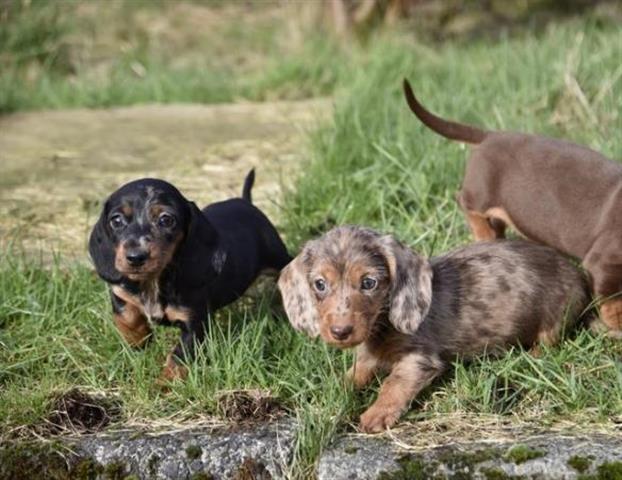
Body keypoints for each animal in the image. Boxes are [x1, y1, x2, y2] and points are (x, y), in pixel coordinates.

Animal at [90, 169, 292, 382]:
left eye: (166, 219)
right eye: (116, 220)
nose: (135, 257)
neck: (154, 280)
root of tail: (246, 202)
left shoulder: (193, 323)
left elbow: (178, 357)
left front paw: (164, 384)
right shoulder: (121, 291)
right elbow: (126, 317)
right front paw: (139, 339)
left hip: (277, 258)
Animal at [280, 227, 592, 434]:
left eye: (369, 282)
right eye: (320, 284)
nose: (340, 331)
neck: (382, 325)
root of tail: (578, 274)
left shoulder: (418, 359)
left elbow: (393, 383)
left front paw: (377, 413)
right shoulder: (368, 358)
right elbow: (353, 375)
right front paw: (332, 390)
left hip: (555, 316)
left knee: (549, 341)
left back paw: (531, 356)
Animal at [404, 79, 622, 338]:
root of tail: (491, 136)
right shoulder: (602, 263)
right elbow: (612, 298)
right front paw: (617, 321)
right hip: (481, 194)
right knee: (466, 203)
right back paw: (484, 232)